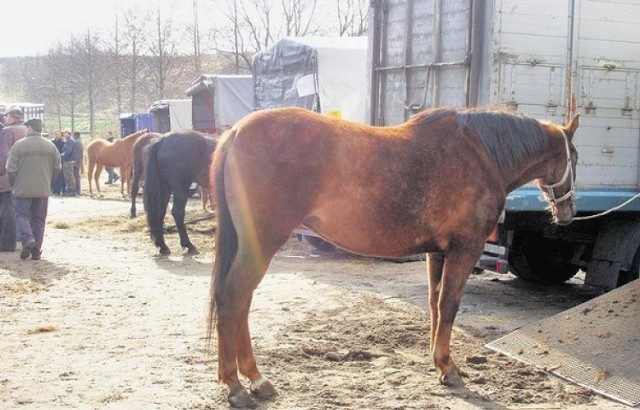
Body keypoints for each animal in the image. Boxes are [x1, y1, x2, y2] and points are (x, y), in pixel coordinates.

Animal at [208, 106, 576, 406]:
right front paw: (449, 368)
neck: (481, 153)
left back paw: (253, 380)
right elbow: (450, 305)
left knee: (241, 302)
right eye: (574, 155)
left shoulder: (436, 253)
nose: (568, 214)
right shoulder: (464, 250)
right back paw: (238, 384)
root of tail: (236, 131)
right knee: (233, 297)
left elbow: (434, 303)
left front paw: (436, 360)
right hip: (263, 242)